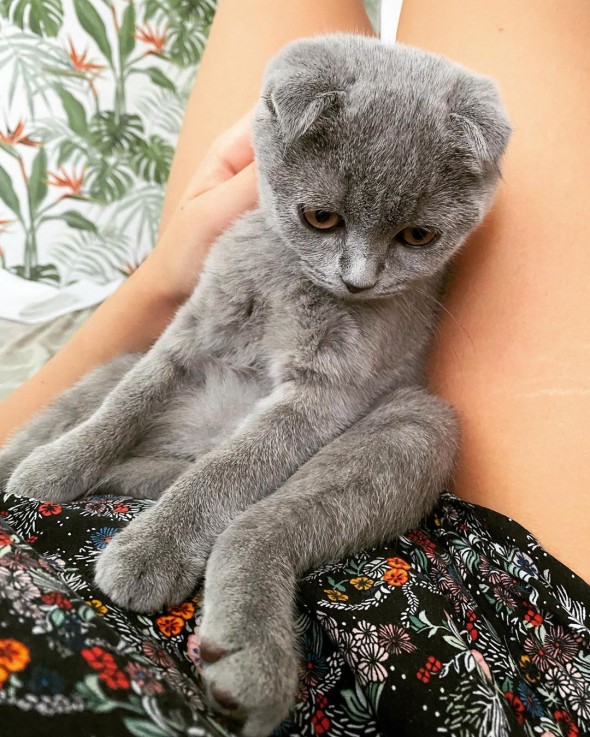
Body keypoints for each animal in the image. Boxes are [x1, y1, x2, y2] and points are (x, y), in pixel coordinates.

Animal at [0, 33, 512, 732]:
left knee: (260, 525)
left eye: (418, 235)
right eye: (320, 217)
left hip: (418, 424)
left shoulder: (324, 393)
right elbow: (126, 404)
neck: (291, 284)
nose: (359, 281)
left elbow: (231, 470)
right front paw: (55, 468)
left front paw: (153, 548)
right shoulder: (189, 329)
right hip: (111, 368)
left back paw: (248, 659)